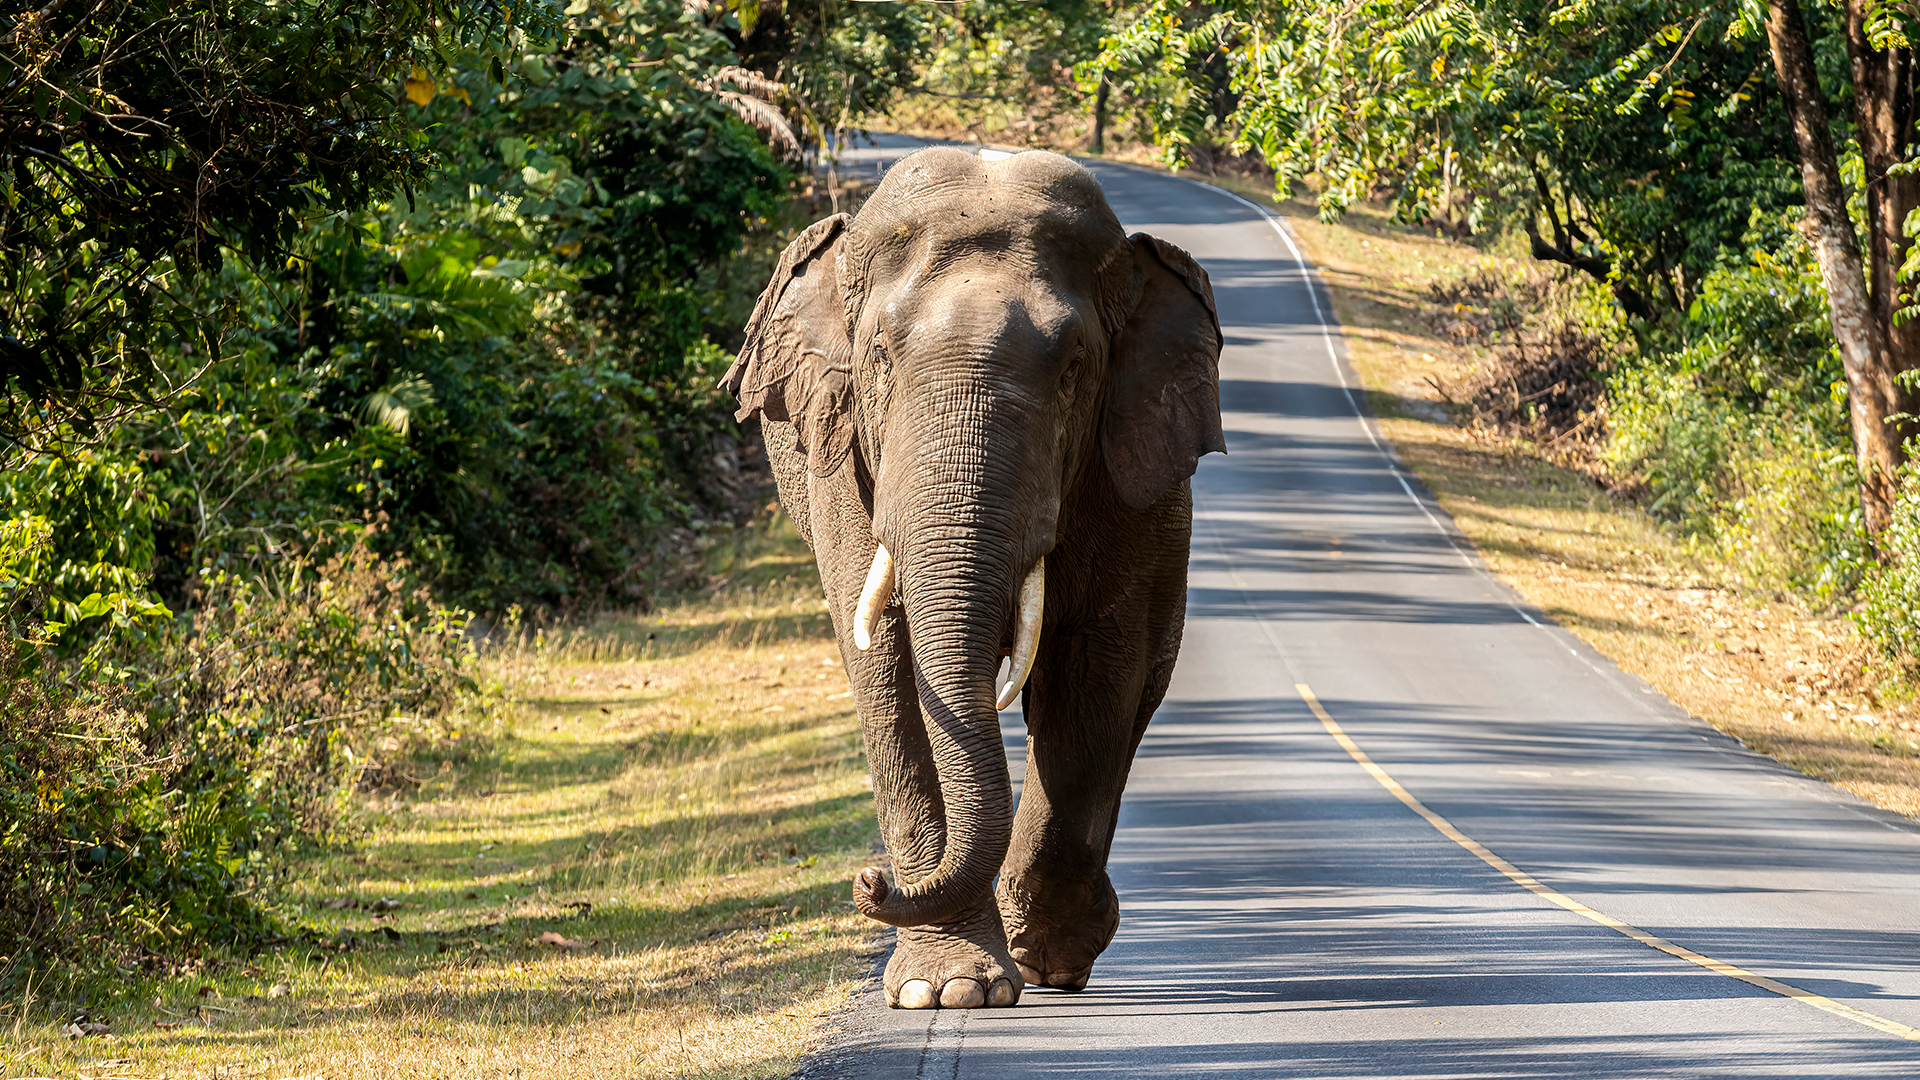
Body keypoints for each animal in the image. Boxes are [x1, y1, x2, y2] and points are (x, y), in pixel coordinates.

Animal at [721, 147, 1228, 1006]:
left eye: (1073, 371)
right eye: (879, 361)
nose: (867, 882)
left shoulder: (1128, 475)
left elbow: (1097, 666)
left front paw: (1043, 959)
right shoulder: (846, 465)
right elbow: (888, 666)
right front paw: (948, 989)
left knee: (1141, 684)